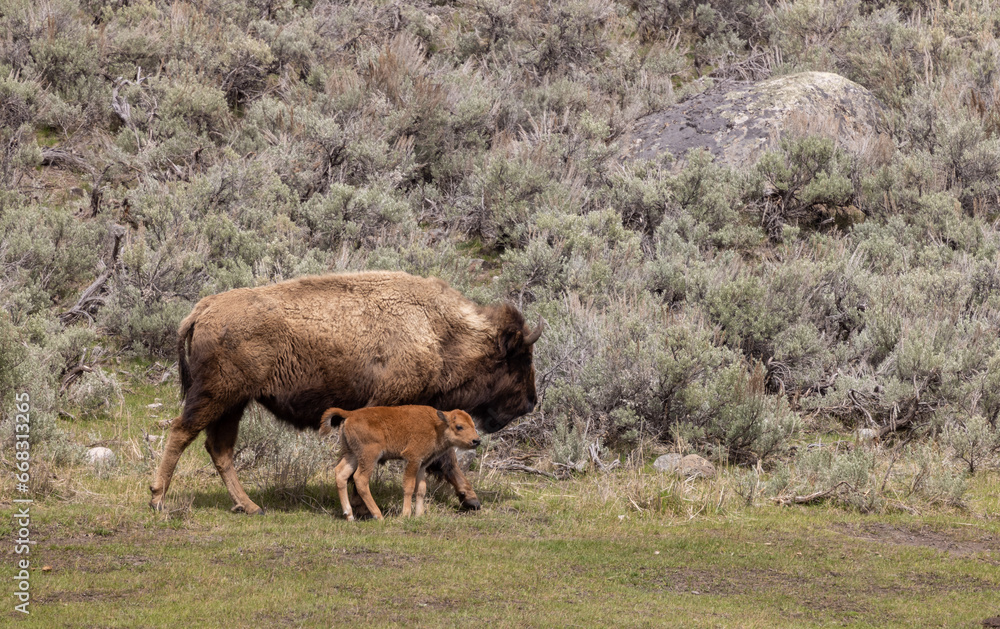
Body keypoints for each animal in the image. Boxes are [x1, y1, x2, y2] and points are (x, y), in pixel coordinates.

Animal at [320, 406, 481, 520]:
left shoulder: (422, 464)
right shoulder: (412, 459)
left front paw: (419, 515)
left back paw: (349, 515)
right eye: (459, 426)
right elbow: (409, 487)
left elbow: (421, 489)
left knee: (341, 473)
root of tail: (351, 414)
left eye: (473, 424)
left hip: (352, 455)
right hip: (369, 457)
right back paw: (378, 515)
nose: (476, 441)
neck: (437, 425)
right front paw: (406, 515)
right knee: (360, 479)